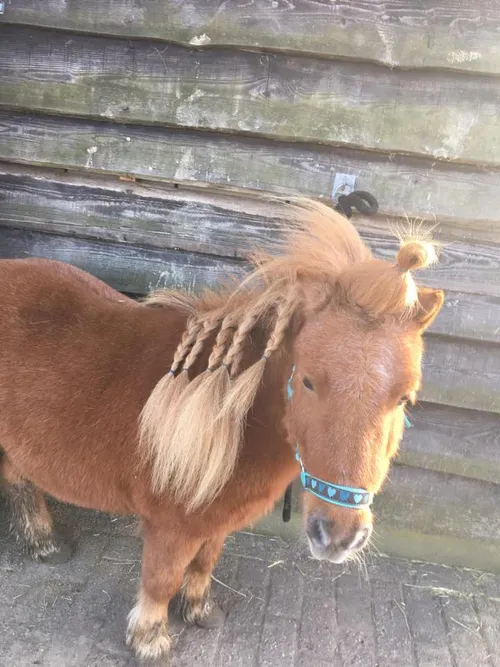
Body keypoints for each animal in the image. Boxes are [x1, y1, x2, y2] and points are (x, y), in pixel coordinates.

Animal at [0, 200, 443, 662]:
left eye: (404, 398)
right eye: (307, 381)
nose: (339, 535)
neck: (230, 413)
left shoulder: (215, 520)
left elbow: (204, 562)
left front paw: (199, 610)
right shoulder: (169, 526)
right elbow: (161, 579)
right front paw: (150, 640)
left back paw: (43, 544)